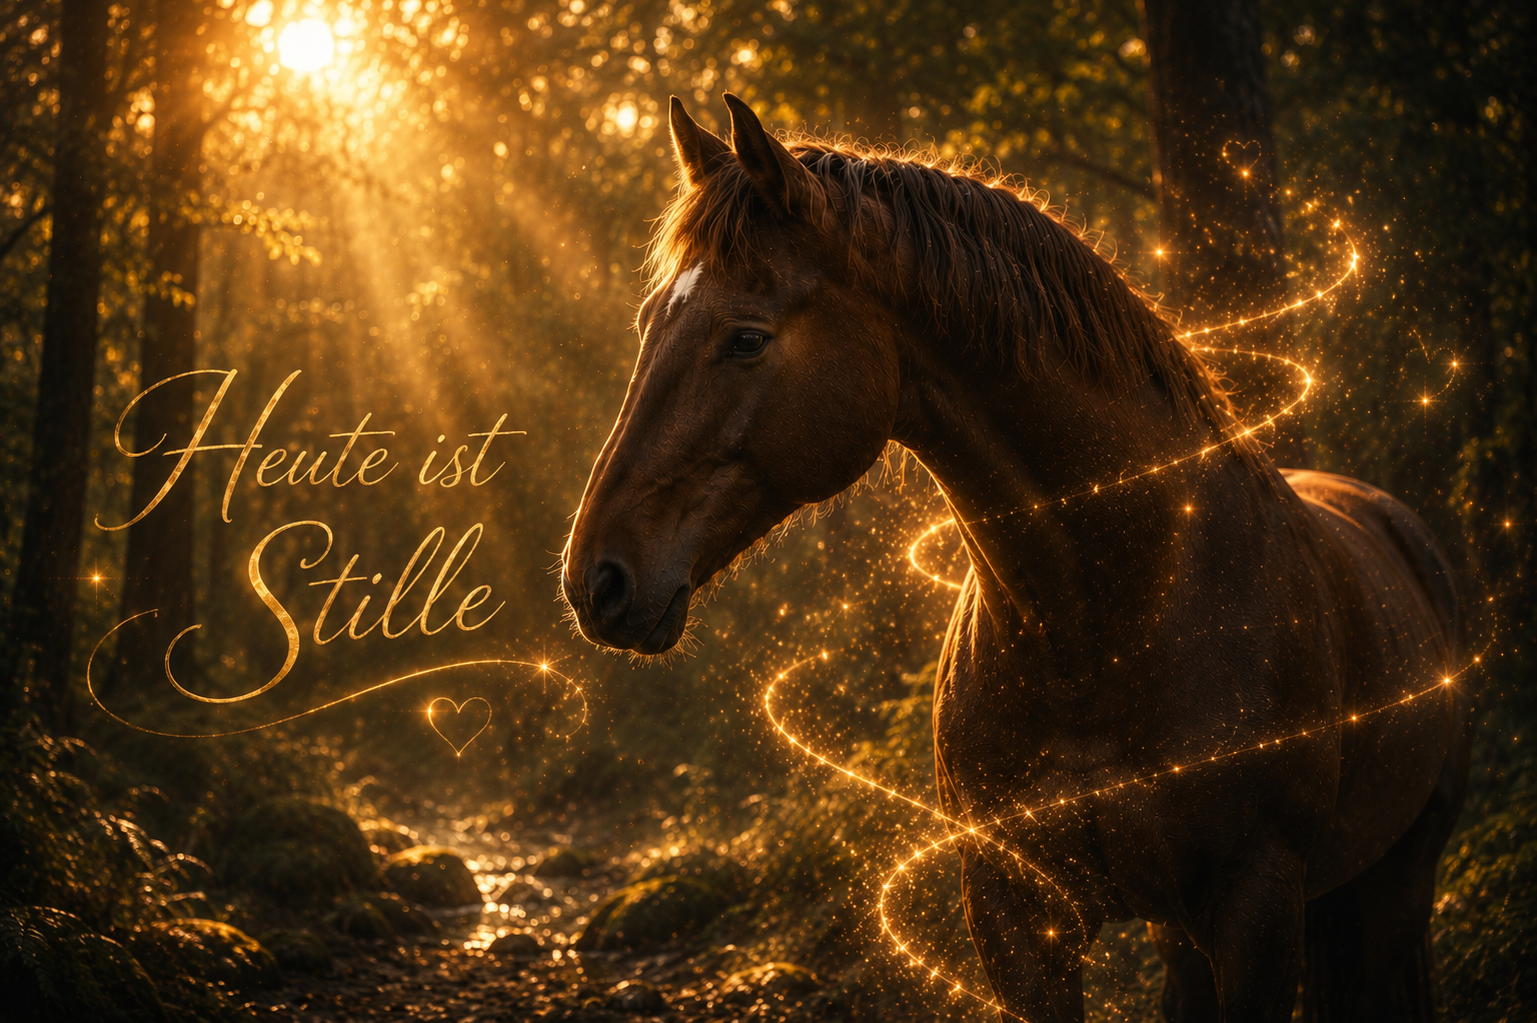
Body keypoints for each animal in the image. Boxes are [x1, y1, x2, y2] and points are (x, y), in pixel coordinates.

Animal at [561, 94, 1470, 1022]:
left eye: (745, 338)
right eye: (648, 324)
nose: (597, 578)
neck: (1112, 614)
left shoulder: (1255, 905)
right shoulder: (1015, 915)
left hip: (1400, 878)